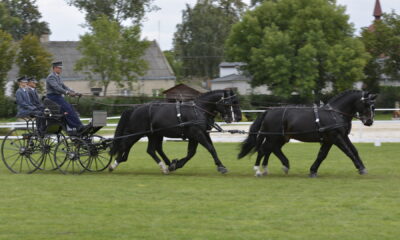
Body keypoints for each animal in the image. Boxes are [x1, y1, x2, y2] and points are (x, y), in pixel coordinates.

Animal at [108, 89, 242, 173]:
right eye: (228, 103)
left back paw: (164, 166)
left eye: (236, 102)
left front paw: (176, 164)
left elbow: (193, 152)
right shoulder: (197, 134)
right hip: (137, 133)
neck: (199, 110)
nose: (236, 118)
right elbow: (210, 149)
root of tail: (136, 108)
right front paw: (221, 167)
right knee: (124, 144)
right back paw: (113, 164)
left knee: (150, 150)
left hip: (153, 134)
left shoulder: (200, 134)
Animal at [239, 89, 376, 176]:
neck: (335, 113)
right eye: (366, 104)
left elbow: (326, 154)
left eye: (373, 106)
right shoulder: (335, 137)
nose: (369, 121)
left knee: (271, 149)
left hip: (281, 137)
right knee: (263, 150)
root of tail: (268, 111)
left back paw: (278, 167)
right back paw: (258, 170)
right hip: (273, 137)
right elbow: (348, 152)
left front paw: (313, 170)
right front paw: (360, 168)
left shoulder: (335, 138)